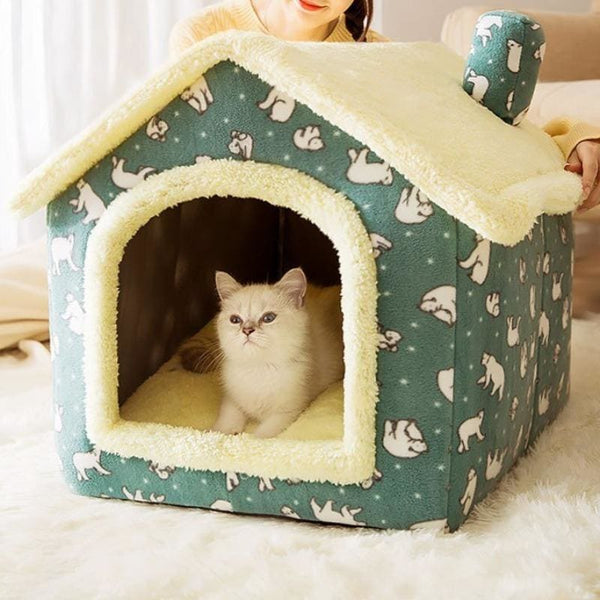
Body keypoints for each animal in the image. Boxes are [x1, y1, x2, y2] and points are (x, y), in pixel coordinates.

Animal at [179, 267, 344, 438]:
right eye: (235, 320)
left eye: (268, 318)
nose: (247, 330)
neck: (258, 368)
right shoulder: (231, 398)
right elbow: (227, 418)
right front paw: (219, 433)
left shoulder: (288, 411)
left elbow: (261, 436)